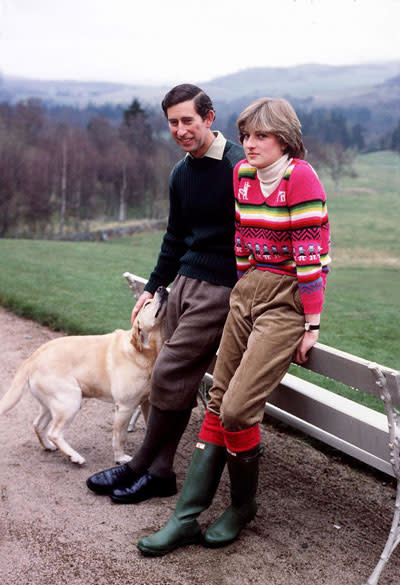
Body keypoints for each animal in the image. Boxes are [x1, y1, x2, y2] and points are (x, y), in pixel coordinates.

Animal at [0, 278, 168, 466]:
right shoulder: (125, 407)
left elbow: (151, 430)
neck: (145, 352)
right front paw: (120, 458)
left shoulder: (147, 402)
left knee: (38, 425)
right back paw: (73, 456)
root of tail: (32, 358)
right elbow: (120, 437)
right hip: (71, 400)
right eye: (147, 303)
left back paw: (49, 447)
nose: (162, 288)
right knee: (54, 432)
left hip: (53, 403)